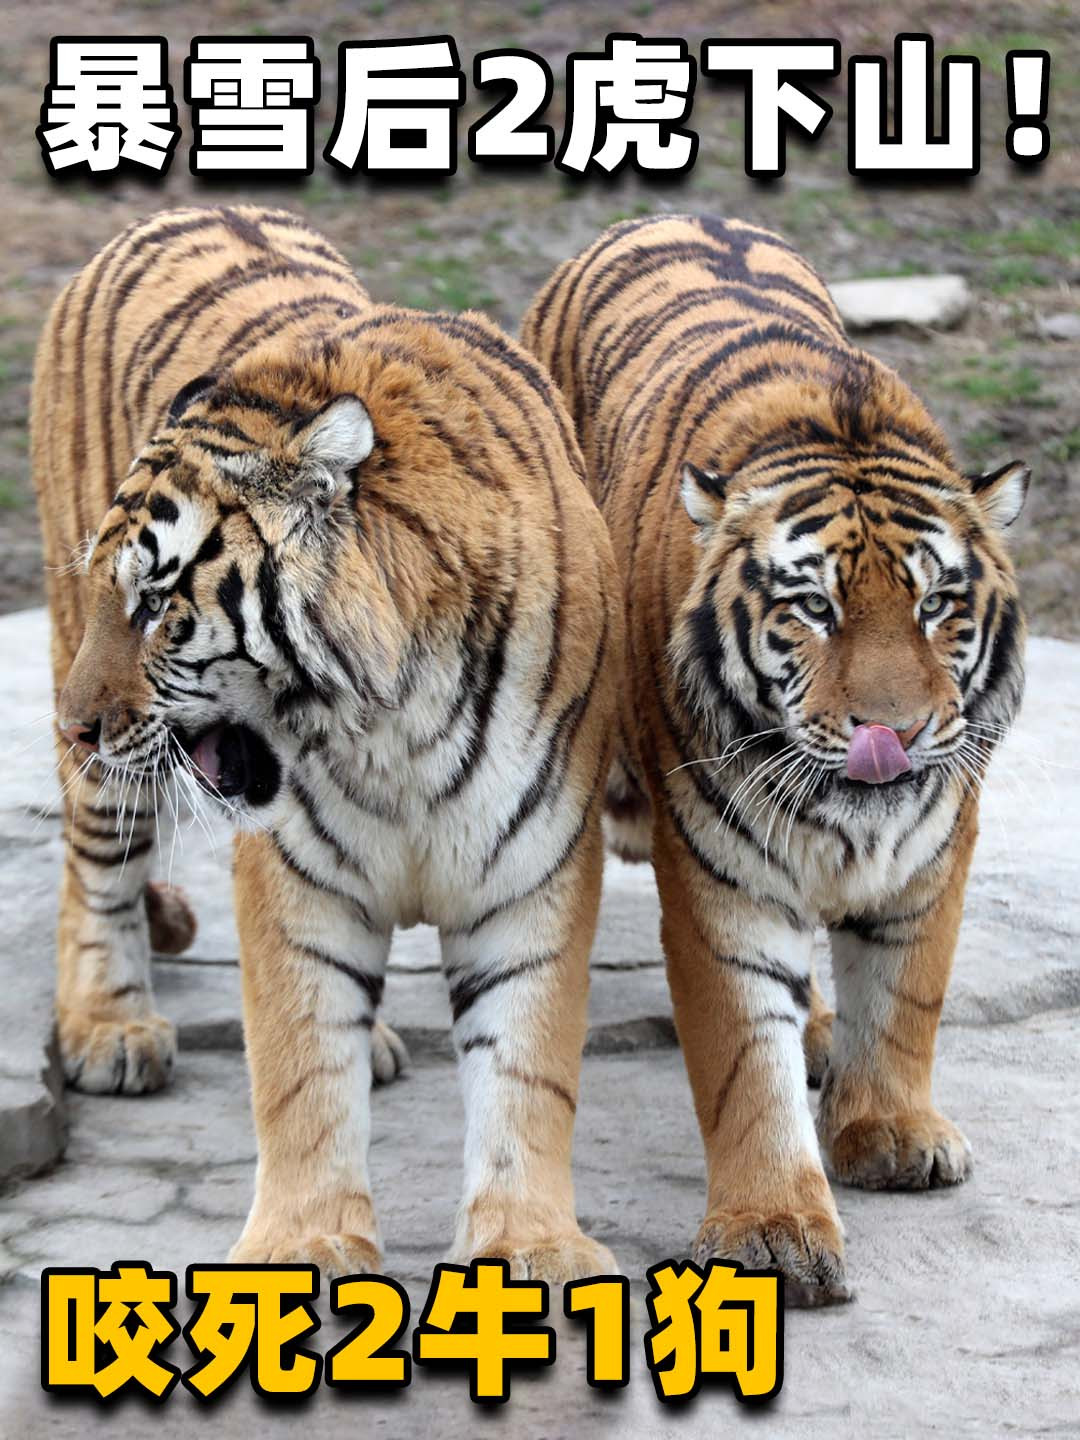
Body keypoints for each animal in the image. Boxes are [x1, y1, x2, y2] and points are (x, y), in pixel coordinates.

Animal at [32, 204, 622, 1281]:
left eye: (153, 608)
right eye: (110, 599)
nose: (72, 721)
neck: (394, 725)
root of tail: (180, 210)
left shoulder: (535, 867)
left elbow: (528, 1069)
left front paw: (531, 1243)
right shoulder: (294, 879)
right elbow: (301, 1069)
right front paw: (300, 1246)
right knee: (95, 865)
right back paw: (112, 1028)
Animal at [522, 214, 1029, 1305]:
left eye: (937, 605)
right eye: (813, 609)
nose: (896, 732)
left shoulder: (937, 841)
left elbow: (907, 992)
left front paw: (891, 1130)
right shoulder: (719, 874)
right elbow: (740, 1058)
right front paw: (773, 1231)